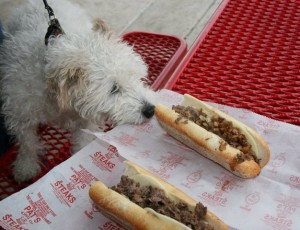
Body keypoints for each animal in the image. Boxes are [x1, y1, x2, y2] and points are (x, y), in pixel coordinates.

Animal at [0, 0, 157, 183]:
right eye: (114, 89)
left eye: (136, 77)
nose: (150, 110)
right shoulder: (20, 110)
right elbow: (27, 142)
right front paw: (26, 166)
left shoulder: (85, 120)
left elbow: (83, 141)